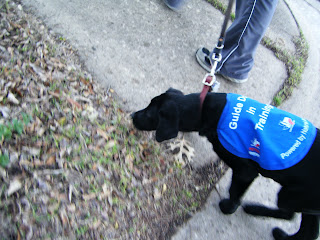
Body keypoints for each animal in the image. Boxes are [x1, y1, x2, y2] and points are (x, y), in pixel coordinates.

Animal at [131, 88, 320, 240]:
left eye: (149, 114)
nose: (132, 116)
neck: (204, 110)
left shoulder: (245, 172)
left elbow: (235, 192)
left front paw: (229, 208)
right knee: (304, 227)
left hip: (292, 194)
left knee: (292, 217)